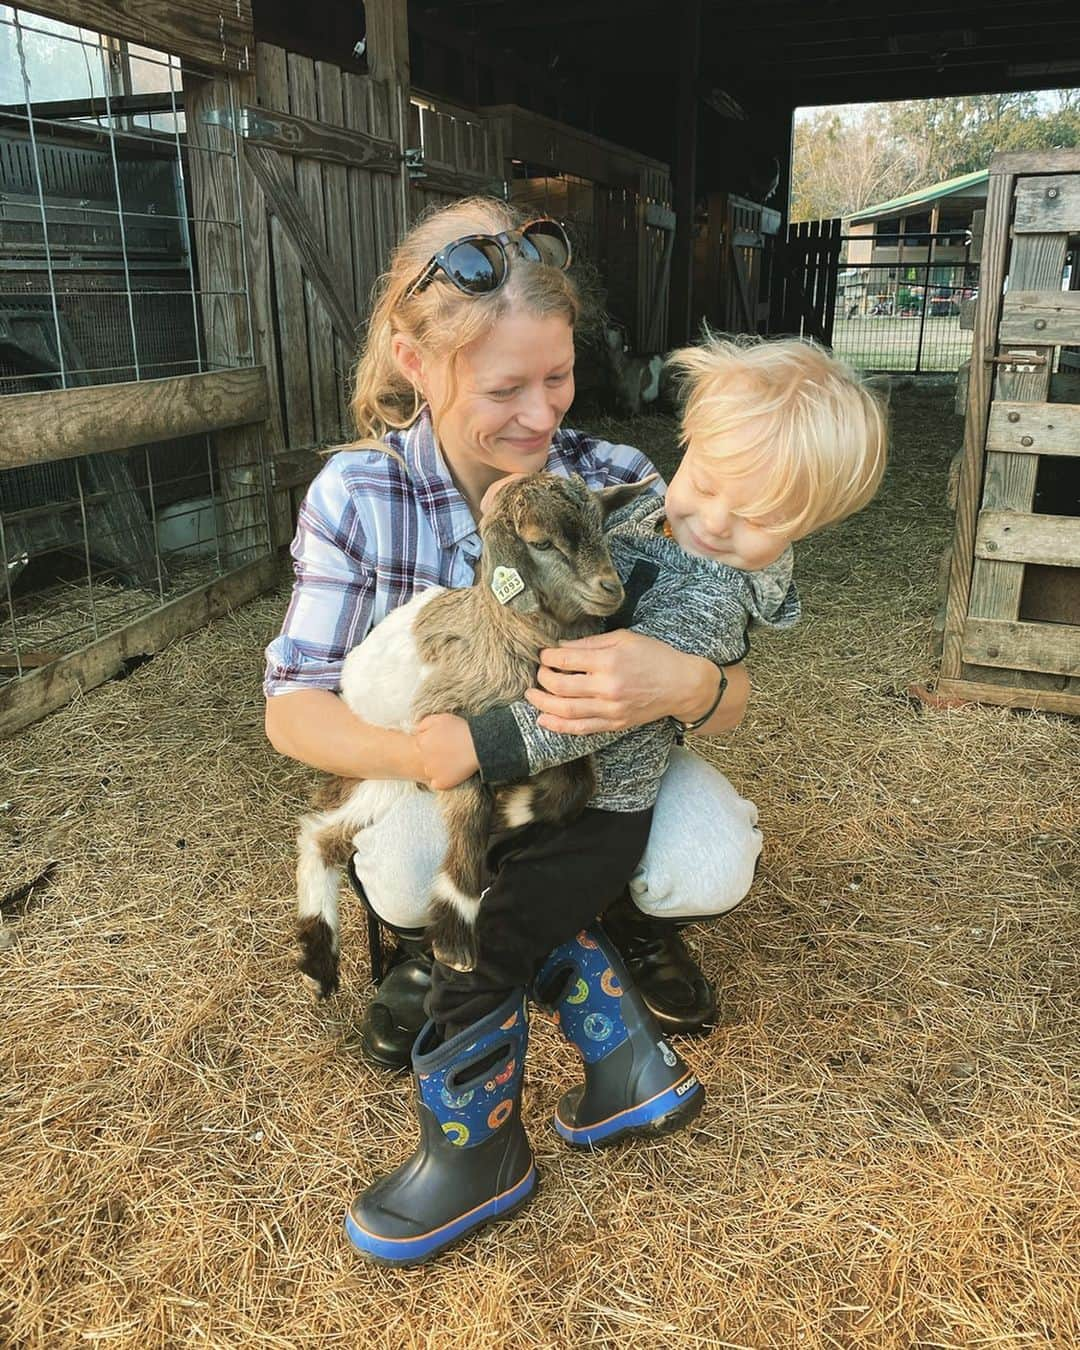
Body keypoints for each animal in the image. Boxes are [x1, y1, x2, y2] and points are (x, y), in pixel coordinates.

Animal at [295, 472, 650, 993]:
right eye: (540, 542)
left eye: (600, 524)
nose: (610, 588)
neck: (505, 634)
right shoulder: (444, 729)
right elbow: (470, 814)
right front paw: (455, 941)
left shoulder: (553, 727)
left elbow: (576, 787)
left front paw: (509, 809)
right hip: (389, 758)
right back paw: (322, 960)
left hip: (387, 777)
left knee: (323, 834)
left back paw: (318, 959)